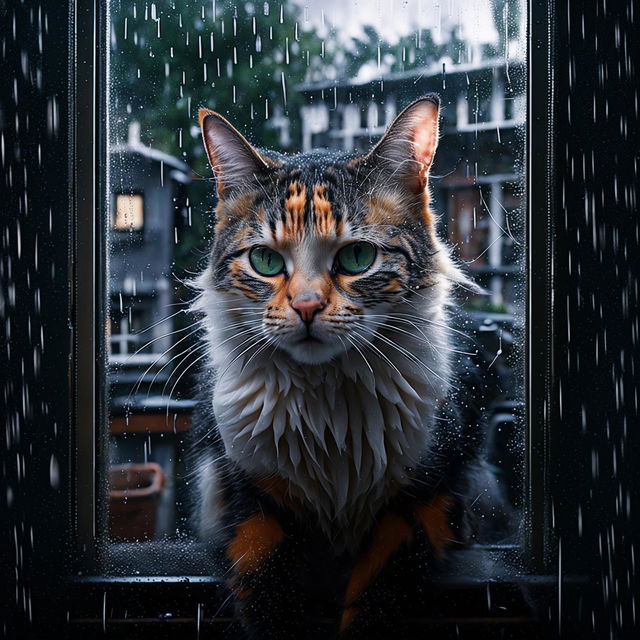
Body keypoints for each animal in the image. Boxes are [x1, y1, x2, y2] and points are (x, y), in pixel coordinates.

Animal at [190, 96, 510, 640]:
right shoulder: (248, 499)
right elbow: (266, 589)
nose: (306, 307)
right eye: (265, 261)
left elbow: (376, 594)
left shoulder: (423, 499)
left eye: (357, 257)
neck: (328, 411)